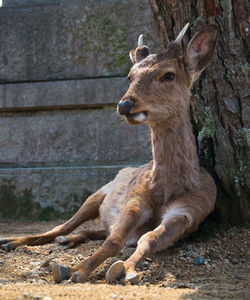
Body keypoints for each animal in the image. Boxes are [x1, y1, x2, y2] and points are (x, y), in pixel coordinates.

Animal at [0, 22, 218, 284]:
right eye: (130, 76)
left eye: (169, 74)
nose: (125, 104)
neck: (169, 188)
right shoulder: (135, 199)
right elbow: (114, 240)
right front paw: (75, 270)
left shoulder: (188, 211)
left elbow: (147, 239)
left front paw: (126, 269)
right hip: (98, 193)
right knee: (60, 228)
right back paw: (10, 242)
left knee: (95, 230)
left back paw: (66, 242)